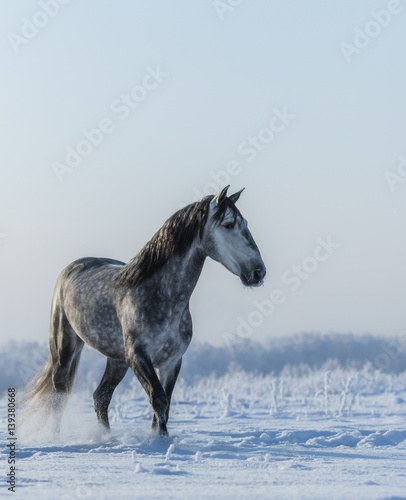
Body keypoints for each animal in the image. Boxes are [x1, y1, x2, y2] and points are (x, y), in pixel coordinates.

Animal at [24, 186, 266, 436]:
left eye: (245, 223)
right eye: (228, 224)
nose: (258, 272)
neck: (163, 299)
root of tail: (72, 268)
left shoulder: (171, 362)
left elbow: (164, 407)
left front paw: (160, 439)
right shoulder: (138, 356)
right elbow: (158, 400)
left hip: (117, 360)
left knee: (101, 396)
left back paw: (106, 438)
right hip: (65, 348)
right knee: (59, 394)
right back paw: (55, 438)